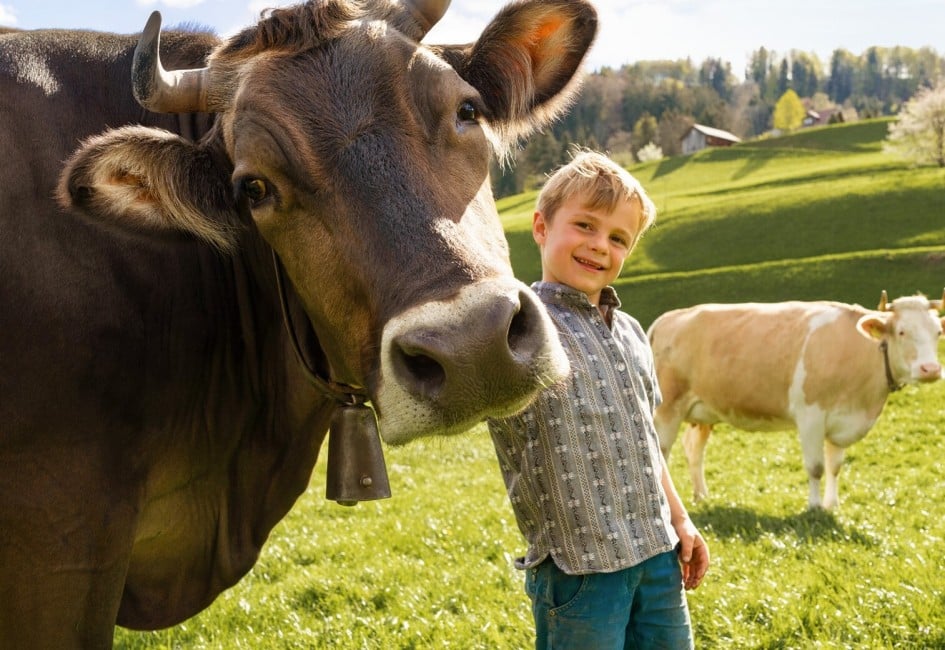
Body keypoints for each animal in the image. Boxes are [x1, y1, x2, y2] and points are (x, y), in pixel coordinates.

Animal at [648, 292, 944, 511]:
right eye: (902, 332)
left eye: (938, 333)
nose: (930, 369)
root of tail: (667, 318)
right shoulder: (811, 416)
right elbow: (816, 467)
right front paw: (814, 507)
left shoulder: (842, 421)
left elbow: (835, 466)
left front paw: (832, 505)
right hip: (667, 408)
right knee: (662, 451)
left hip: (703, 410)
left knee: (693, 450)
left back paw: (701, 496)